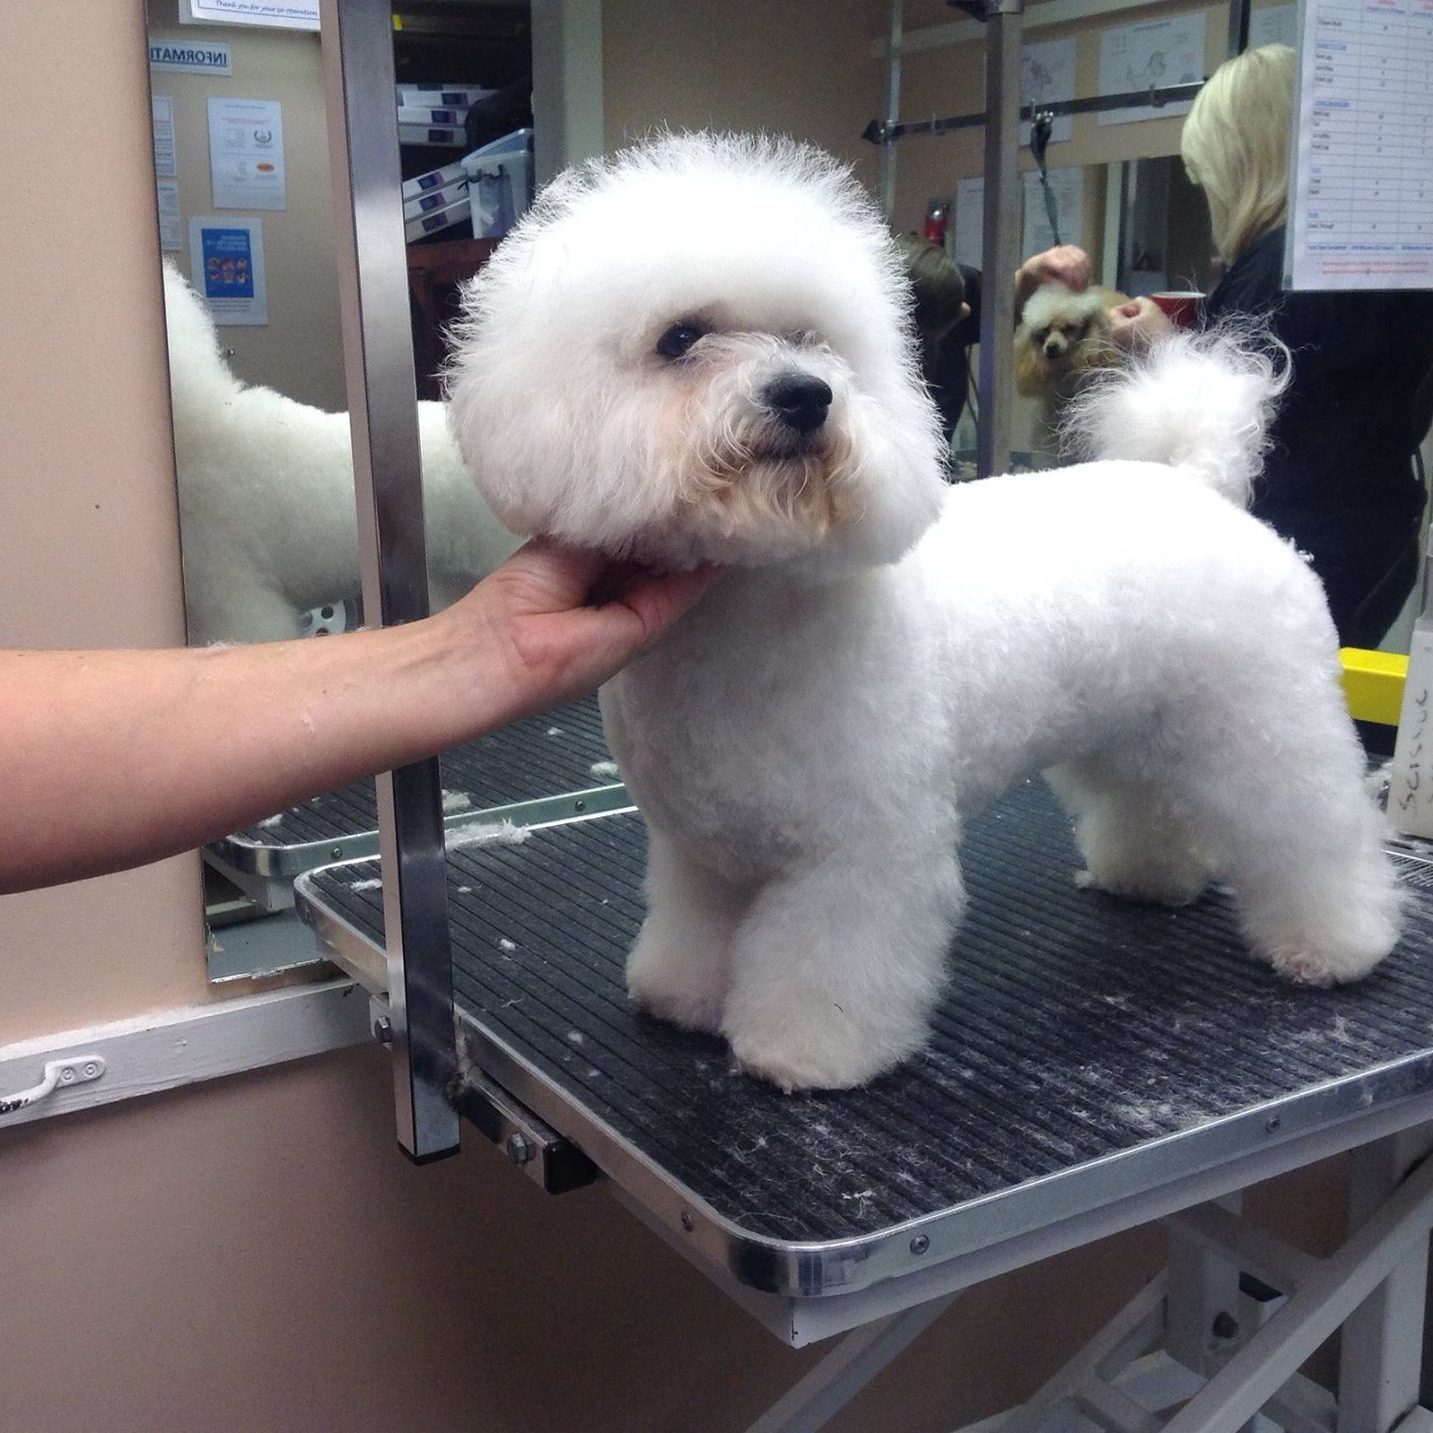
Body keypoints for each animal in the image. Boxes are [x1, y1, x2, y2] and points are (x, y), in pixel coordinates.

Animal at [444, 136, 1398, 1094]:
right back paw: (1149, 877)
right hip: (1135, 721)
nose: (807, 395)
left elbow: (830, 962)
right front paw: (683, 999)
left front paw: (807, 1050)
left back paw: (1336, 940)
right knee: (1149, 798)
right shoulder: (701, 849)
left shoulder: (861, 848)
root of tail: (1198, 483)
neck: (750, 615)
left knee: (1311, 829)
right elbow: (695, 930)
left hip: (1263, 723)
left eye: (811, 341)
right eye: (679, 338)